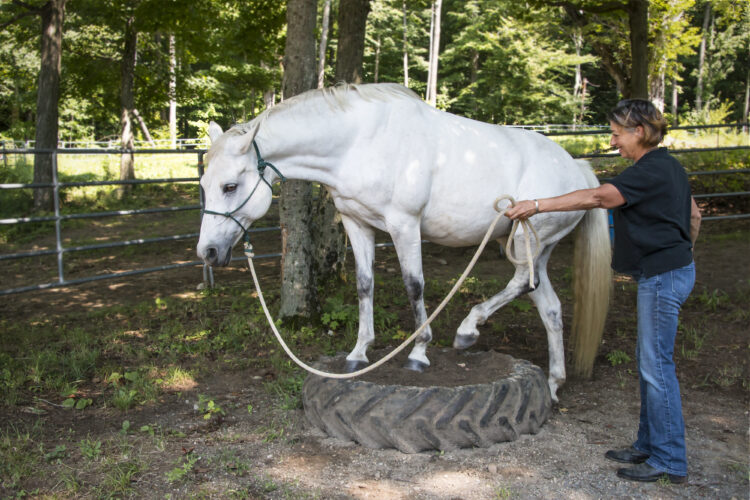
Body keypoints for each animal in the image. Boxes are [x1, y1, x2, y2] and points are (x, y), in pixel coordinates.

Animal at [197, 82, 611, 401]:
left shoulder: (404, 226)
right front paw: (359, 352)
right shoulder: (357, 223)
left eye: (230, 186)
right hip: (534, 246)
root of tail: (579, 169)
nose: (207, 252)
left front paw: (419, 352)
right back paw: (554, 385)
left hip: (529, 242)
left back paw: (467, 330)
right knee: (549, 306)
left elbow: (414, 286)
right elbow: (365, 285)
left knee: (524, 283)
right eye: (203, 184)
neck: (359, 143)